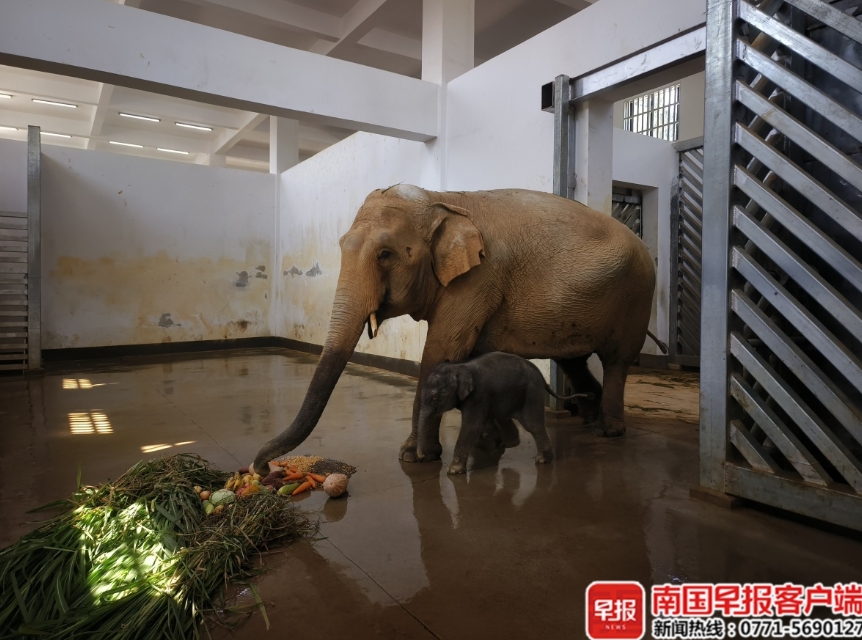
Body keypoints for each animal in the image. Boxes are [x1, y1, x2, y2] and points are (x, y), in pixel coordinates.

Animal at [418, 352, 594, 474]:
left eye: (435, 397)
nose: (421, 458)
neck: (460, 366)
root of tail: (541, 375)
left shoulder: (477, 397)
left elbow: (471, 426)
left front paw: (453, 472)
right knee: (507, 416)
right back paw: (513, 444)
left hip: (532, 392)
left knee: (532, 424)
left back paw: (542, 460)